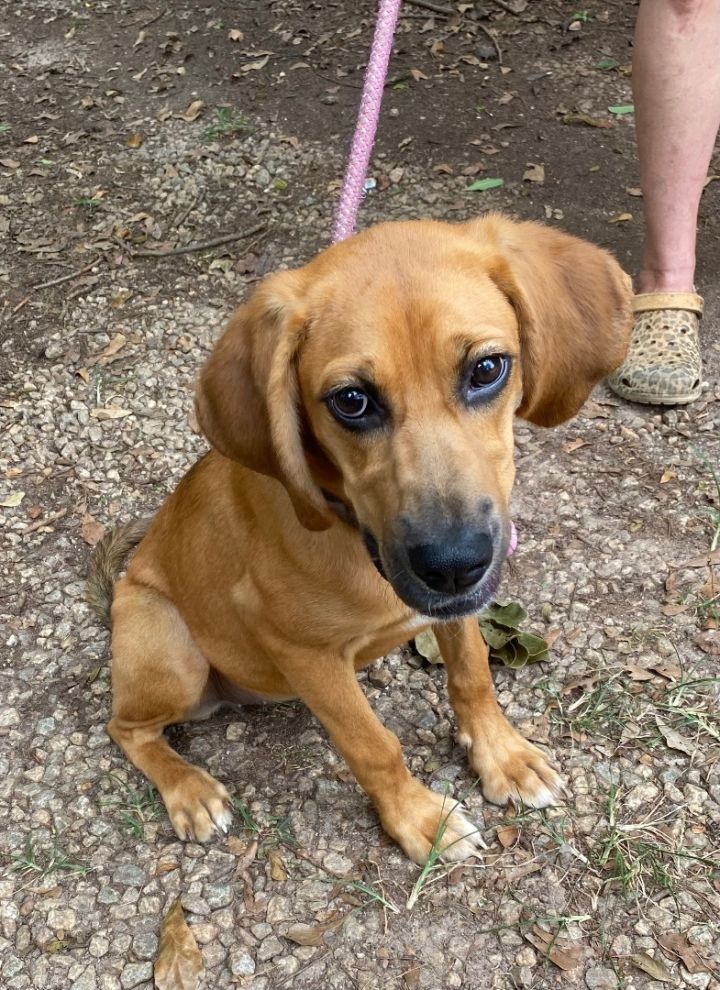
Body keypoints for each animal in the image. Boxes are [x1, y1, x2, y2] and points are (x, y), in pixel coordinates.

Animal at [88, 213, 632, 864]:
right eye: (352, 401)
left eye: (487, 370)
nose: (455, 564)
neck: (349, 530)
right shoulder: (305, 654)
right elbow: (372, 744)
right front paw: (420, 818)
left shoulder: (453, 608)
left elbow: (473, 672)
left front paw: (502, 755)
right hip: (171, 648)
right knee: (125, 727)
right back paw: (189, 790)